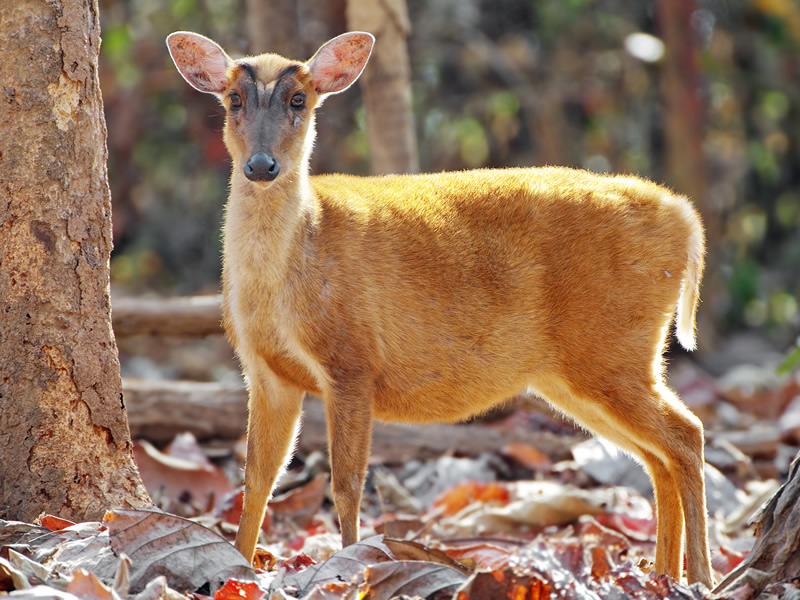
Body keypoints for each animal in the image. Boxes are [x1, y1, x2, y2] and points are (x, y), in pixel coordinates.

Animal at [166, 29, 716, 584]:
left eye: (299, 99)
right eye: (233, 99)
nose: (261, 165)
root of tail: (686, 217)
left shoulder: (352, 359)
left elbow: (346, 481)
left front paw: (350, 565)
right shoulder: (266, 371)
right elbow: (258, 476)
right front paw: (238, 564)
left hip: (610, 348)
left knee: (686, 435)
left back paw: (701, 577)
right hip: (580, 370)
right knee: (657, 455)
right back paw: (664, 574)